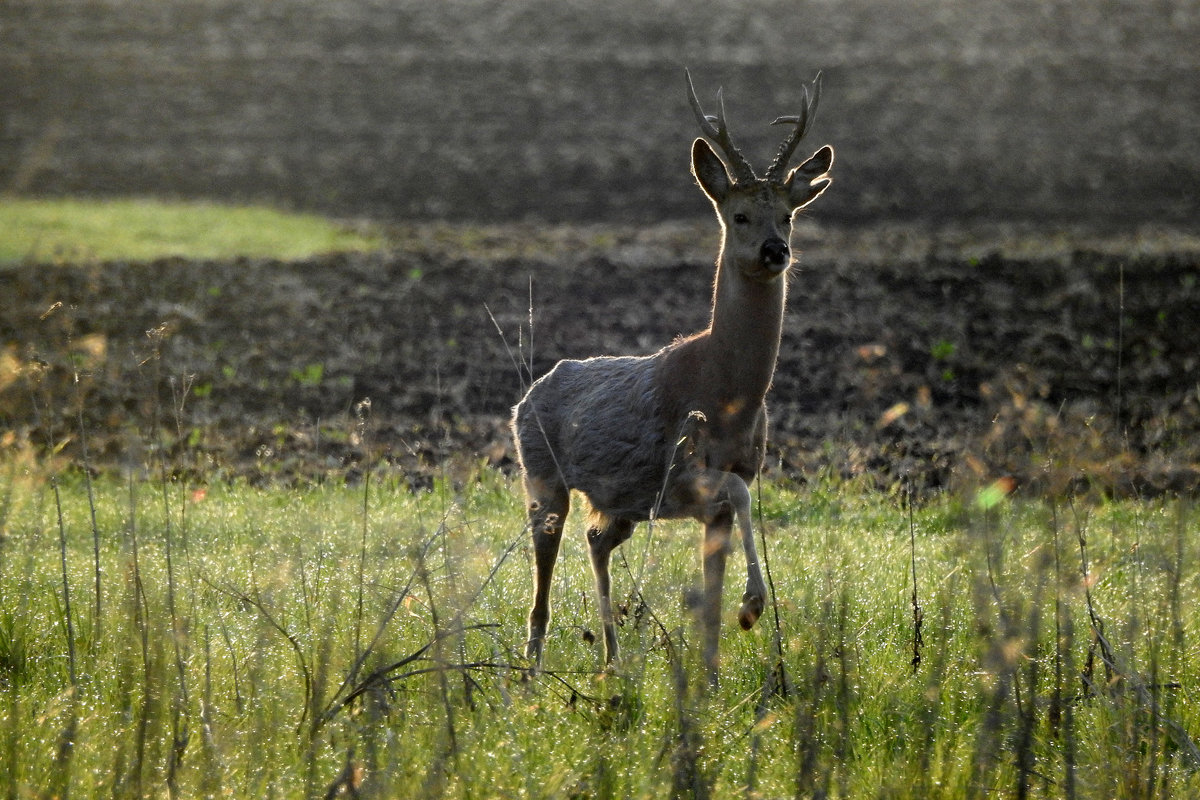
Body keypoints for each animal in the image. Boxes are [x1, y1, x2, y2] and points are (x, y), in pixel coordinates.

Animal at [513, 68, 835, 686]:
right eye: (738, 215)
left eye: (788, 214)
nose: (776, 249)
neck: (727, 390)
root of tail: (528, 395)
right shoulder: (678, 470)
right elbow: (738, 495)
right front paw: (753, 604)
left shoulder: (720, 487)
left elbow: (712, 587)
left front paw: (711, 678)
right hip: (541, 474)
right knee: (543, 571)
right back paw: (532, 670)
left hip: (622, 502)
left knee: (596, 538)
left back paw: (612, 659)